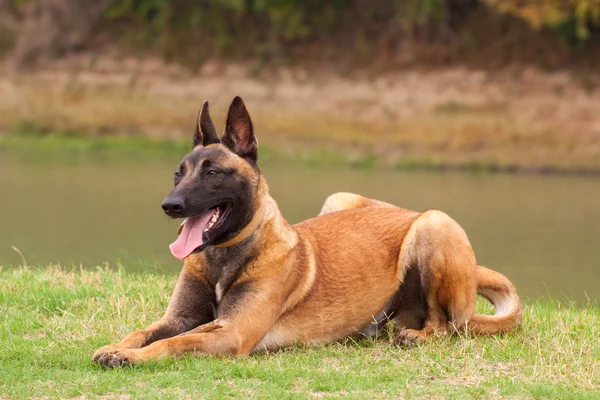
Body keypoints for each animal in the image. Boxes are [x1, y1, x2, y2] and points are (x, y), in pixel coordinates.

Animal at [92, 96, 520, 366]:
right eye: (178, 173)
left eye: (213, 173)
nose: (171, 205)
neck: (224, 256)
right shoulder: (179, 318)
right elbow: (147, 331)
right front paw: (118, 346)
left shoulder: (231, 332)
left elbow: (176, 342)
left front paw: (132, 357)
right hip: (339, 199)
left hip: (434, 224)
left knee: (445, 325)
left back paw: (419, 335)